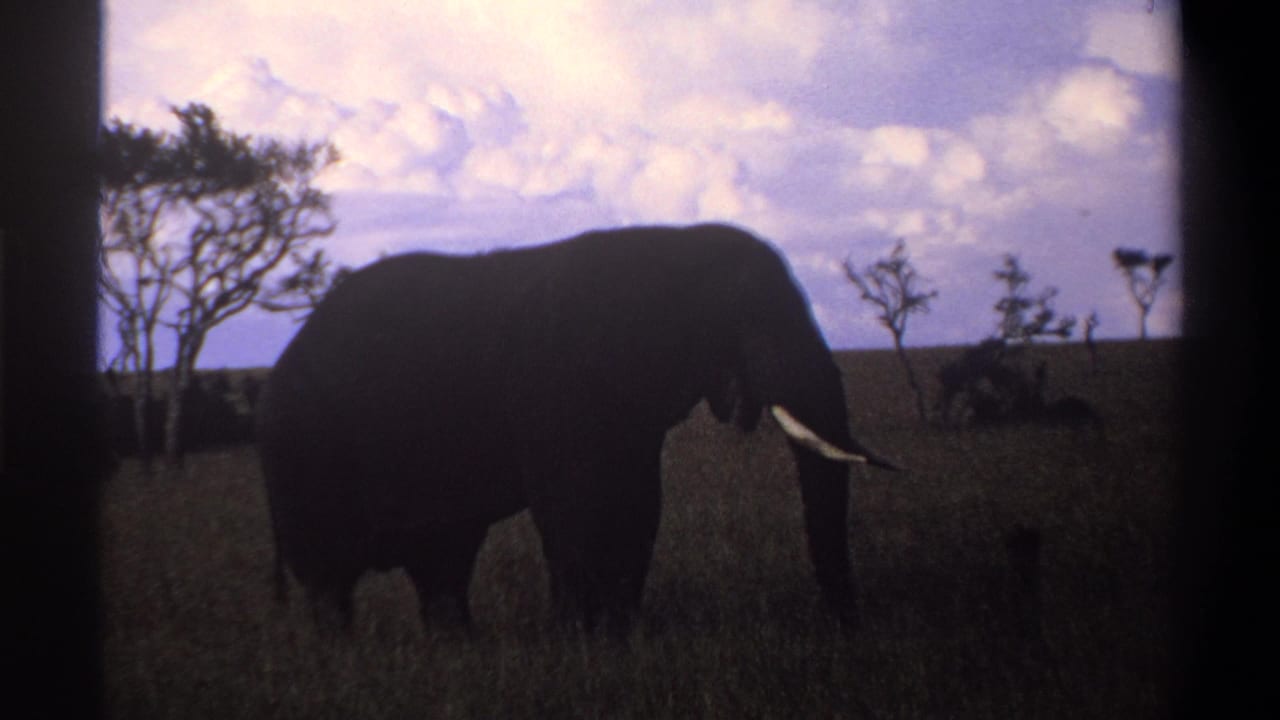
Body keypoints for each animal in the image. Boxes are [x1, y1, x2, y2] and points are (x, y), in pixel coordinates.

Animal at [256, 223, 895, 635]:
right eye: (749, 317)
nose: (847, 628)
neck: (676, 247)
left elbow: (638, 505)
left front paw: (618, 634)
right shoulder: (557, 383)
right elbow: (574, 507)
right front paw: (580, 641)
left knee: (443, 562)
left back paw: (459, 649)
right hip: (302, 452)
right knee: (331, 577)